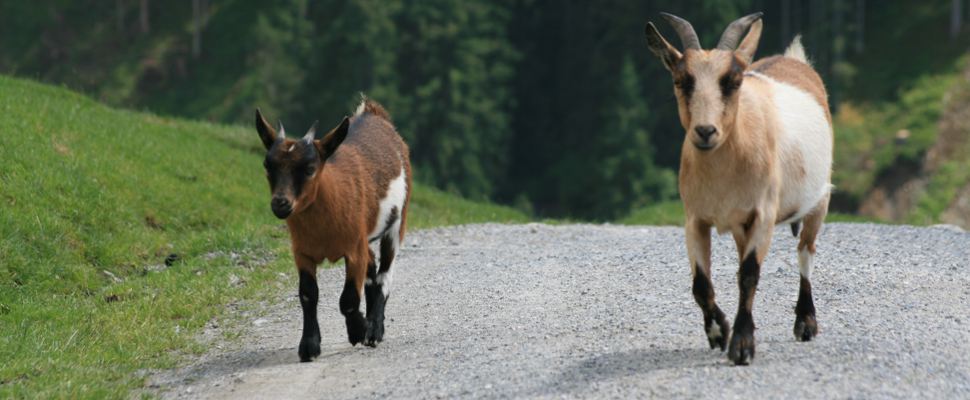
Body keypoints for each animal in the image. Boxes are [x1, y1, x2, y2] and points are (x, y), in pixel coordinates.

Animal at [253, 98, 408, 360]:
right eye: (267, 165)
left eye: (309, 167)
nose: (280, 203)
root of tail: (373, 113)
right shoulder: (302, 252)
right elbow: (308, 294)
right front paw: (309, 346)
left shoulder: (353, 249)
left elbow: (348, 299)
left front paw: (359, 330)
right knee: (372, 269)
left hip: (397, 223)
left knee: (385, 274)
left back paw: (375, 330)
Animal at [644, 12, 832, 364]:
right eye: (681, 80)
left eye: (733, 81)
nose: (705, 131)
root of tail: (795, 59)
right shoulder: (696, 219)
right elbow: (701, 284)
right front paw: (720, 331)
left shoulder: (763, 214)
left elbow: (748, 275)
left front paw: (742, 345)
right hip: (739, 226)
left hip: (819, 199)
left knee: (805, 253)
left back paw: (806, 323)